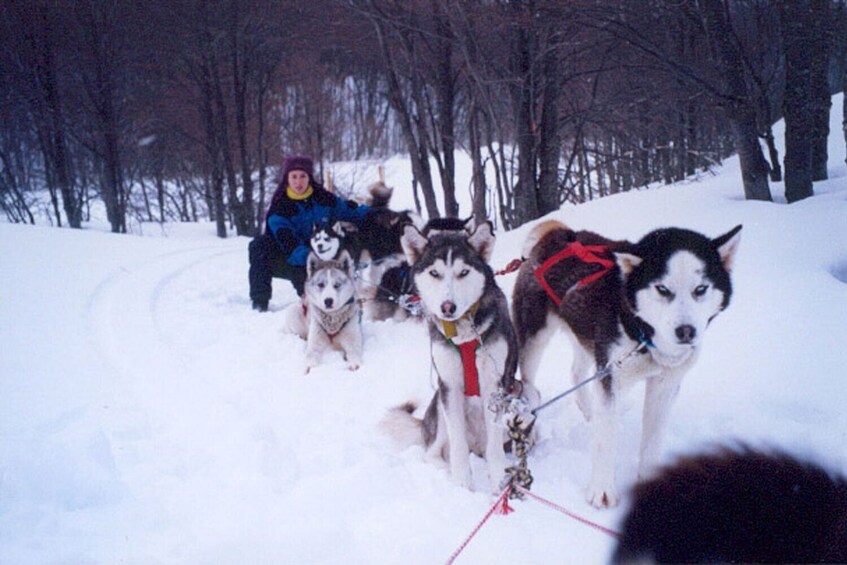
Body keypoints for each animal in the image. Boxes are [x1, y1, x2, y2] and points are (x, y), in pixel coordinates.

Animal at [384, 218, 536, 492]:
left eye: (463, 272)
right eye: (435, 273)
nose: (447, 307)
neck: (464, 333)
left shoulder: (494, 384)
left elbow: (495, 447)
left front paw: (498, 480)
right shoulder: (449, 385)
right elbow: (457, 443)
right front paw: (462, 482)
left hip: (524, 393)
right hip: (439, 402)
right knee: (434, 452)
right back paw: (447, 470)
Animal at [510, 220, 744, 506]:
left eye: (700, 289)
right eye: (662, 289)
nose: (686, 331)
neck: (645, 335)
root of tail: (558, 233)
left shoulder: (663, 385)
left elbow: (652, 440)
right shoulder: (610, 376)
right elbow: (605, 440)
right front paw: (601, 490)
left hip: (587, 337)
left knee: (577, 374)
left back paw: (589, 412)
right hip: (535, 341)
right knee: (529, 388)